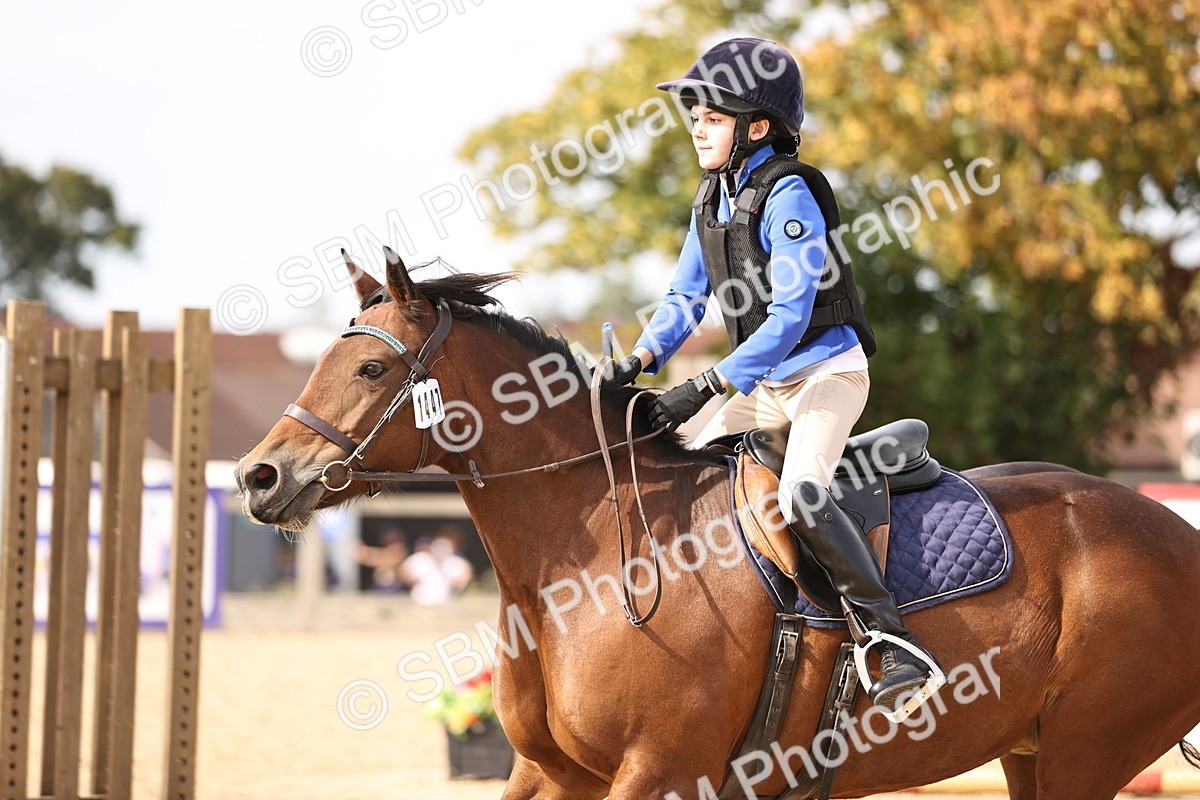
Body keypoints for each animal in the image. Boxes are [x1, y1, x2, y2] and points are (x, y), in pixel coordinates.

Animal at [237, 251, 1200, 800]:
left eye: (369, 368)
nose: (260, 476)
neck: (583, 564)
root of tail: (1176, 536)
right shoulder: (551, 773)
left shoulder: (658, 770)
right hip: (1030, 752)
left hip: (1086, 751)